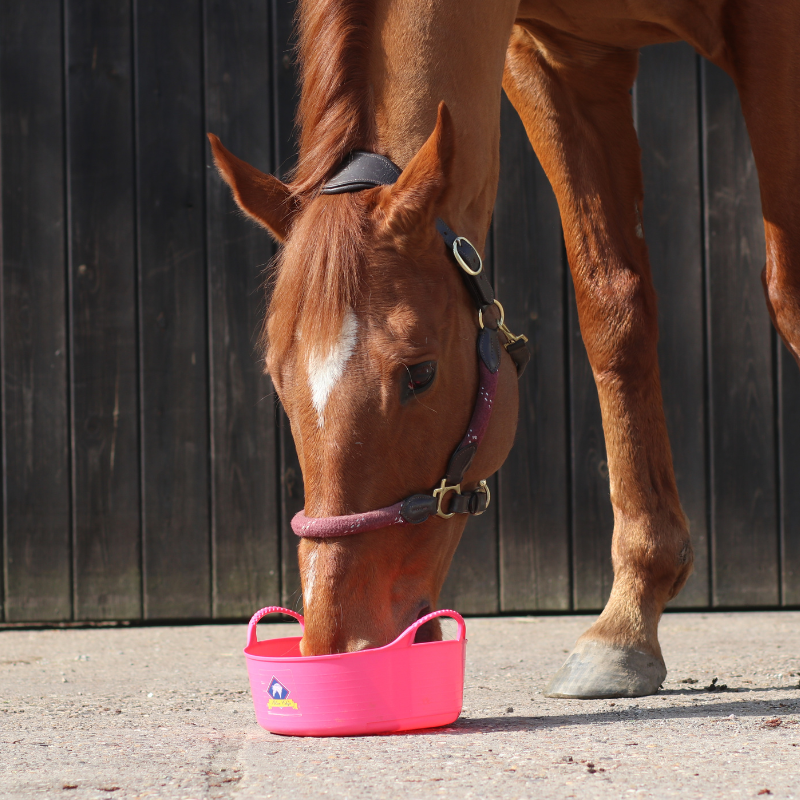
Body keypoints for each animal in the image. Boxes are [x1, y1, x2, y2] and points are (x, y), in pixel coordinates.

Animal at [208, 0, 800, 699]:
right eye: (276, 378)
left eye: (421, 374)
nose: (334, 635)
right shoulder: (555, 59)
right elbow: (612, 306)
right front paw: (626, 626)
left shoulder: (770, 34)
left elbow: (790, 294)